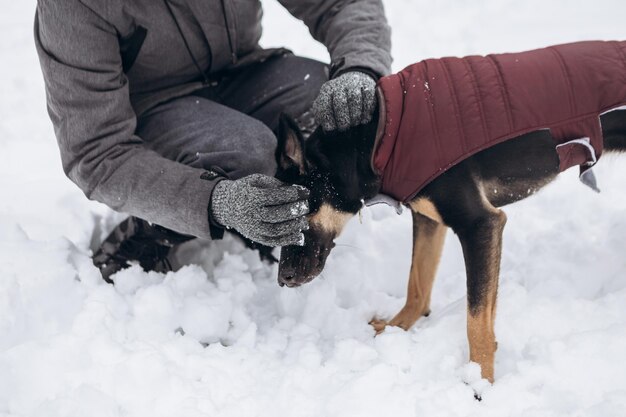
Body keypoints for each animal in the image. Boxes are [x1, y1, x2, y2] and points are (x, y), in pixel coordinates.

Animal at [274, 40, 624, 382]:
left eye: (295, 216)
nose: (282, 279)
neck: (378, 137)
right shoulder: (429, 219)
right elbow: (418, 285)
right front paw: (395, 328)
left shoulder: (480, 224)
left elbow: (476, 320)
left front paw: (479, 383)